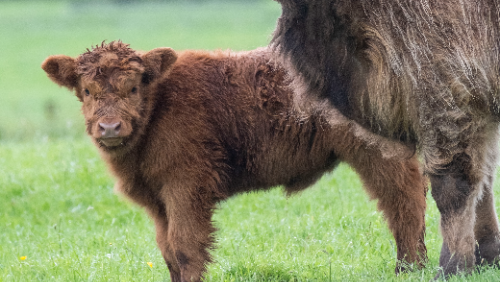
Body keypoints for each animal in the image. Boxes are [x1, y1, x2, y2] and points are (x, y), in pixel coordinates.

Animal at [41, 42, 428, 282]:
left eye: (133, 88)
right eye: (86, 91)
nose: (109, 127)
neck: (158, 105)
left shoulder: (187, 188)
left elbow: (186, 246)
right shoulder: (157, 200)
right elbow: (167, 249)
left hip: (382, 155)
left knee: (404, 205)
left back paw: (409, 269)